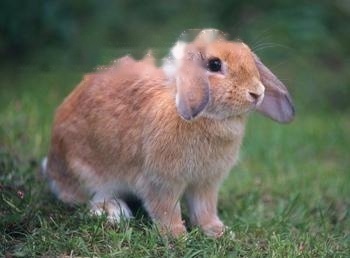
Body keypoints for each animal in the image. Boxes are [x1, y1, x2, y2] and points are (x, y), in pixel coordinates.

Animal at [40, 28, 292, 238]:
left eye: (250, 59)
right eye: (214, 64)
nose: (257, 93)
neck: (207, 118)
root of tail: (51, 165)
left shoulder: (206, 184)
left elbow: (205, 210)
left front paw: (218, 231)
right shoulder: (161, 182)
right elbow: (166, 210)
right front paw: (177, 236)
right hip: (86, 172)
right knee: (85, 198)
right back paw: (114, 211)